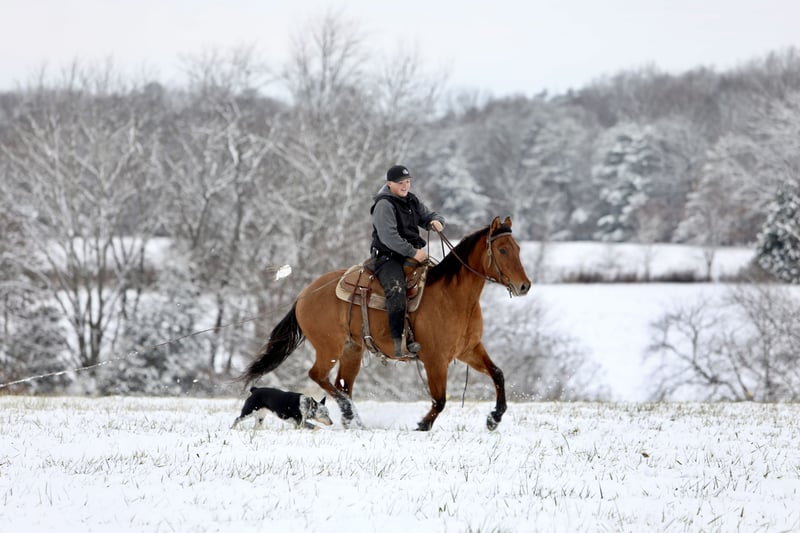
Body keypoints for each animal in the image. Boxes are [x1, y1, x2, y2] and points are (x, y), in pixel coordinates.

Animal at [241, 216, 531, 431]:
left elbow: (498, 374)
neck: (454, 298)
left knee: (343, 384)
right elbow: (439, 400)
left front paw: (494, 418)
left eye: (518, 249)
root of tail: (304, 294)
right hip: (329, 348)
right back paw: (349, 414)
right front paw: (422, 425)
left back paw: (352, 419)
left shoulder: (469, 350)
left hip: (352, 350)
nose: (524, 286)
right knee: (318, 375)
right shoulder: (435, 359)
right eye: (502, 249)